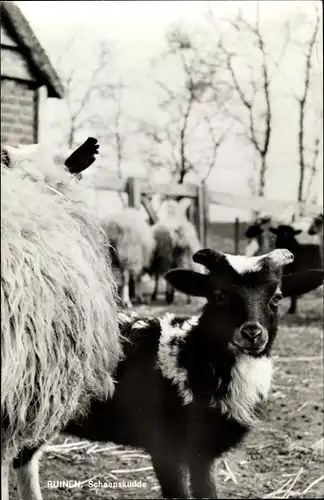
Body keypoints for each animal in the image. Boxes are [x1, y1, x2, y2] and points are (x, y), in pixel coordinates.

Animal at [12, 248, 324, 498]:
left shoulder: (202, 453)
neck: (191, 357)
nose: (252, 333)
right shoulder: (165, 448)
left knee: (22, 460)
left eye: (277, 297)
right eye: (219, 295)